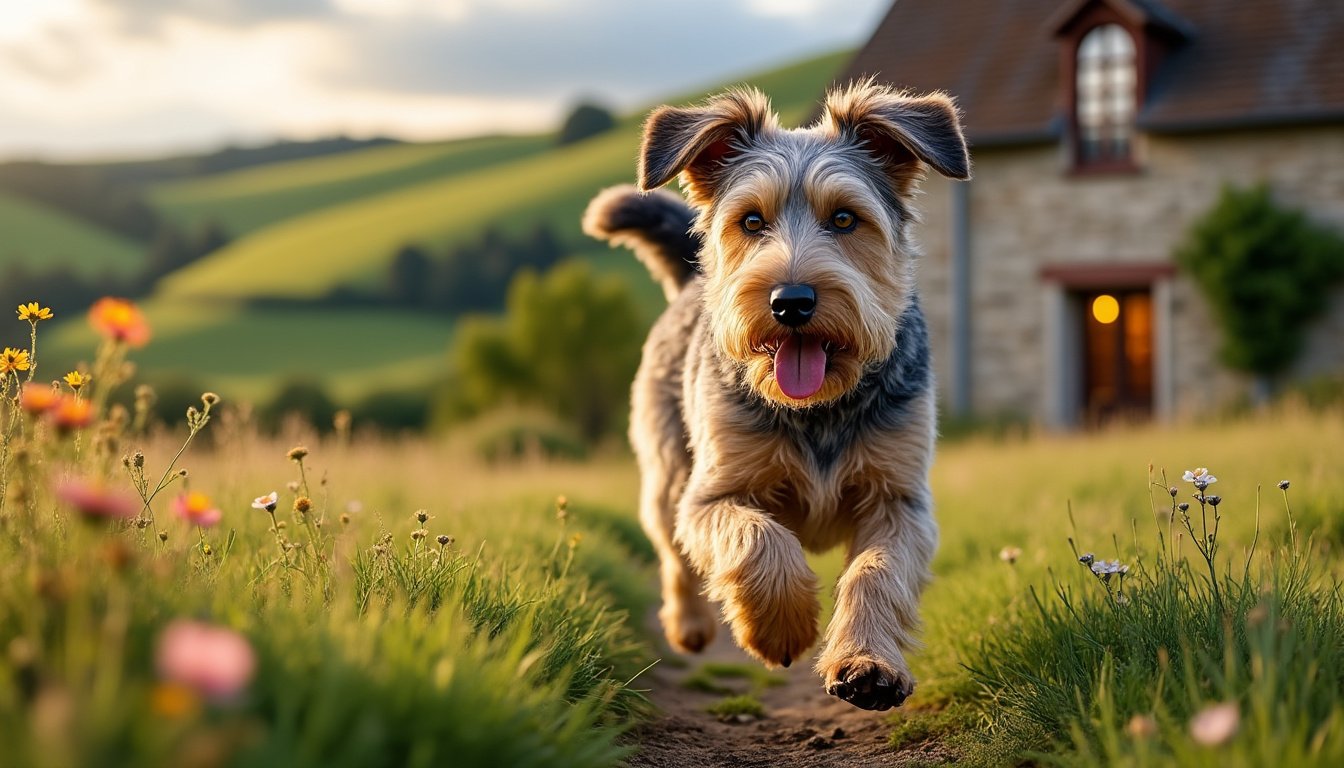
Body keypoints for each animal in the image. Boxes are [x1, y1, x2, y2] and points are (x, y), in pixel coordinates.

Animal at [583, 81, 973, 710]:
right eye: (750, 221)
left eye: (845, 218)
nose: (790, 302)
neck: (818, 408)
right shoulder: (711, 495)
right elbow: (758, 538)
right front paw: (779, 631)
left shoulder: (900, 500)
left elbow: (876, 571)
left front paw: (867, 664)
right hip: (666, 473)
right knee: (671, 550)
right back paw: (689, 626)